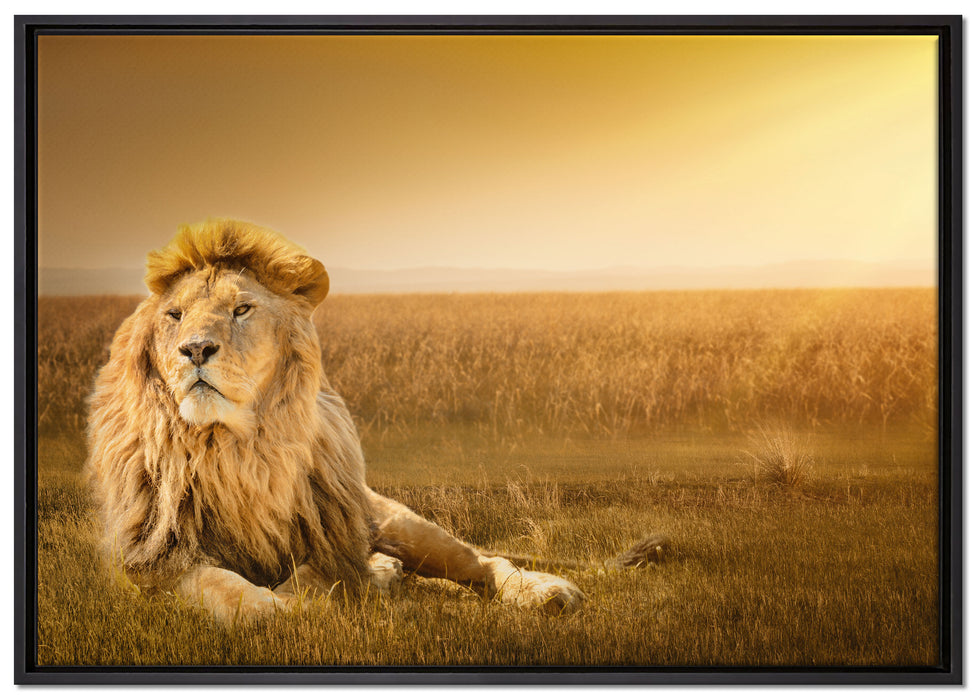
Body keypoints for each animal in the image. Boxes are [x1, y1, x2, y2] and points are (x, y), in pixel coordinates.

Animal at [86, 219, 663, 624]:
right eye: (175, 315)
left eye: (242, 309)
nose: (195, 350)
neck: (235, 448)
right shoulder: (150, 558)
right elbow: (225, 590)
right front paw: (278, 608)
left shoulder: (333, 534)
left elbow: (319, 574)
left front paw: (341, 588)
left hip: (399, 522)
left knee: (484, 563)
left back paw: (544, 591)